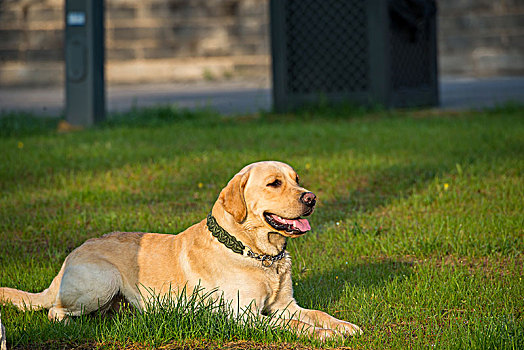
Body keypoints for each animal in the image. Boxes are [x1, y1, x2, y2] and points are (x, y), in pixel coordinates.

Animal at [1, 161, 360, 340]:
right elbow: (294, 326)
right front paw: (325, 335)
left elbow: (317, 314)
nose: (311, 198)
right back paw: (72, 324)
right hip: (102, 282)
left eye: (297, 179)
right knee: (55, 311)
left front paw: (343, 326)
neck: (257, 254)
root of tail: (67, 259)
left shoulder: (286, 305)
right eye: (274, 183)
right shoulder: (243, 315)